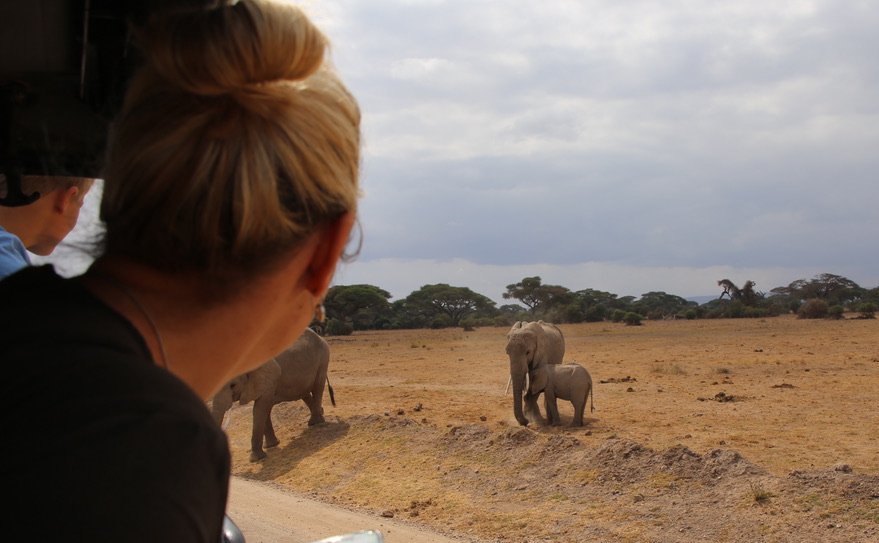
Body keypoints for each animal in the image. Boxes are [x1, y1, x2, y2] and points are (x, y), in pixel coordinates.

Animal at [211, 328, 336, 464]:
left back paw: (318, 423)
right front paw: (271, 446)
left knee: (317, 387)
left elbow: (260, 408)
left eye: (233, 385)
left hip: (323, 359)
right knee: (304, 393)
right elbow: (263, 408)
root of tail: (319, 336)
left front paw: (256, 459)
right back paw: (315, 420)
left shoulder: (269, 377)